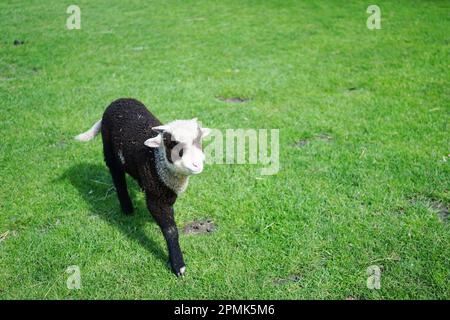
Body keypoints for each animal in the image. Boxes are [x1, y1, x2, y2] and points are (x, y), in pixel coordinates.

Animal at [75, 97, 211, 276]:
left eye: (199, 140)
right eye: (172, 143)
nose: (196, 164)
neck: (157, 159)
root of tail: (119, 100)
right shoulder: (156, 199)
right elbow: (171, 230)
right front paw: (178, 265)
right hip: (110, 152)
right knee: (118, 178)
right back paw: (127, 209)